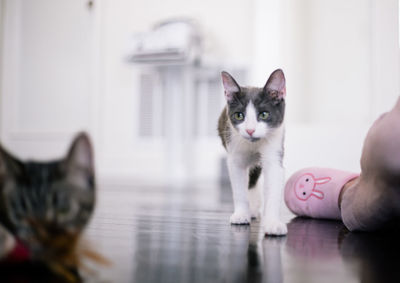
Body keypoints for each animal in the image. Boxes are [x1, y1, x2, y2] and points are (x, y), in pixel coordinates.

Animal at [219, 70, 288, 236]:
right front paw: (241, 214)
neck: (254, 144)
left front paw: (273, 223)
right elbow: (239, 186)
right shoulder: (234, 149)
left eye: (264, 115)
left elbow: (273, 180)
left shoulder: (275, 144)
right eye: (239, 115)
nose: (250, 130)